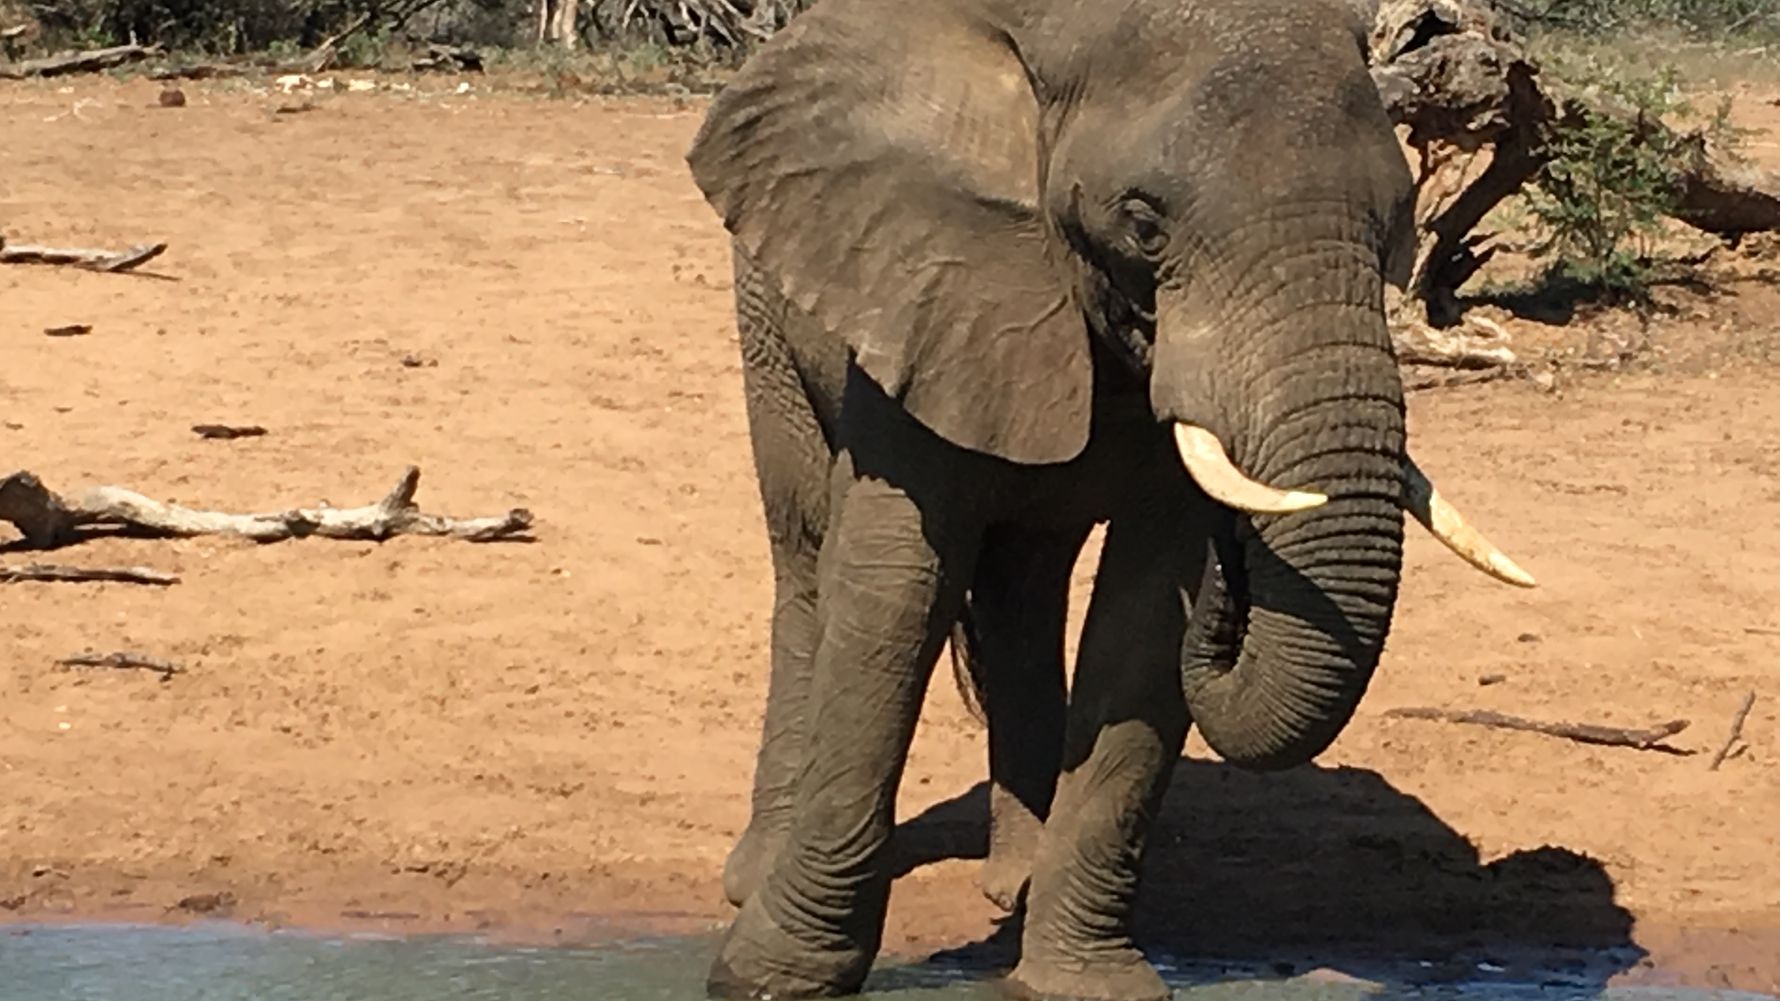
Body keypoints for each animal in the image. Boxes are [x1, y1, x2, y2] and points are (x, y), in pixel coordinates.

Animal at [682, 0, 1537, 997]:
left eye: (1397, 218)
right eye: (1143, 225)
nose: (1238, 561)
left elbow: (1144, 615)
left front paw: (1083, 982)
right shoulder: (927, 279)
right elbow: (894, 587)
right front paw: (772, 977)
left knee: (1022, 585)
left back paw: (1014, 883)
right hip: (772, 307)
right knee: (808, 556)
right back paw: (757, 876)